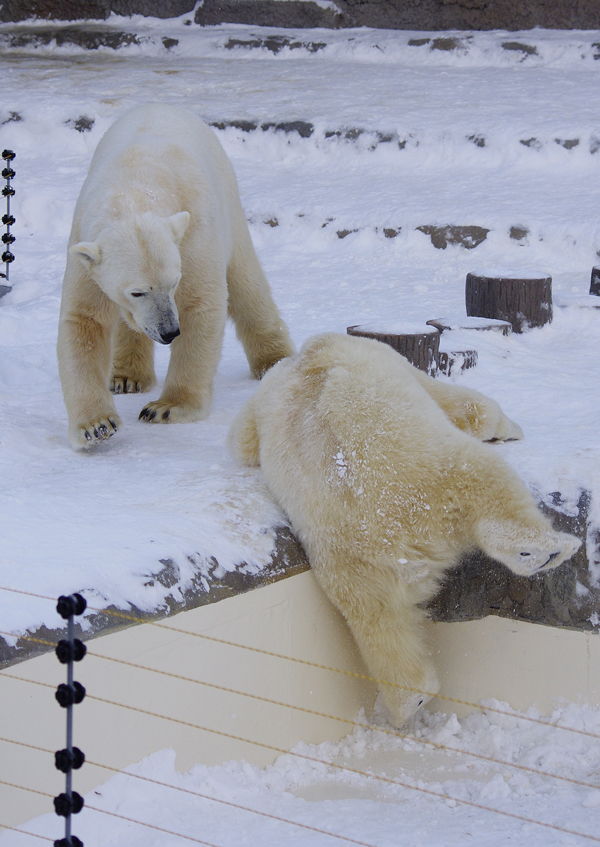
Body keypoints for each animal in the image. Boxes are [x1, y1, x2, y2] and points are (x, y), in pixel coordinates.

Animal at [57, 102, 296, 450]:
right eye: (137, 292)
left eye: (174, 283)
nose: (169, 331)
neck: (133, 188)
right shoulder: (85, 247)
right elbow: (85, 320)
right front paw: (96, 426)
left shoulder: (192, 230)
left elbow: (201, 303)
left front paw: (166, 407)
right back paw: (126, 376)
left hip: (228, 199)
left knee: (246, 283)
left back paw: (274, 361)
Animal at [230, 334, 580, 732]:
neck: (308, 358)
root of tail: (400, 540)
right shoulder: (383, 355)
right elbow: (464, 405)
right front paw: (509, 429)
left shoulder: (264, 404)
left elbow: (242, 440)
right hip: (435, 475)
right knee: (485, 478)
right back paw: (544, 550)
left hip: (345, 560)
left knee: (378, 618)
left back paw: (410, 697)